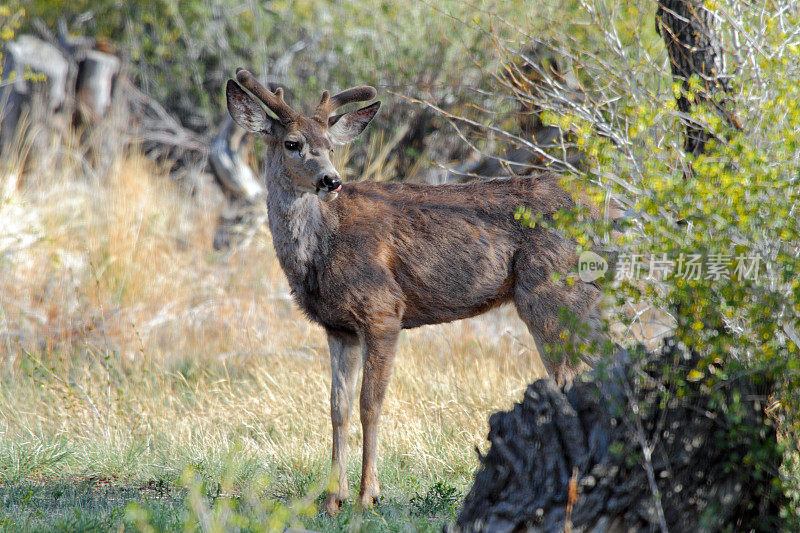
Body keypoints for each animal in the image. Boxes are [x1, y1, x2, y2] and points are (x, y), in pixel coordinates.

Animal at [225, 68, 608, 512]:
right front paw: (331, 499)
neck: (323, 246)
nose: (331, 180)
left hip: (550, 295)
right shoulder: (338, 327)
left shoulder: (382, 311)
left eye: (330, 147)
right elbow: (337, 407)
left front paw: (368, 495)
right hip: (584, 302)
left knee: (570, 378)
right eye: (293, 143)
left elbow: (369, 405)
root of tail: (602, 211)